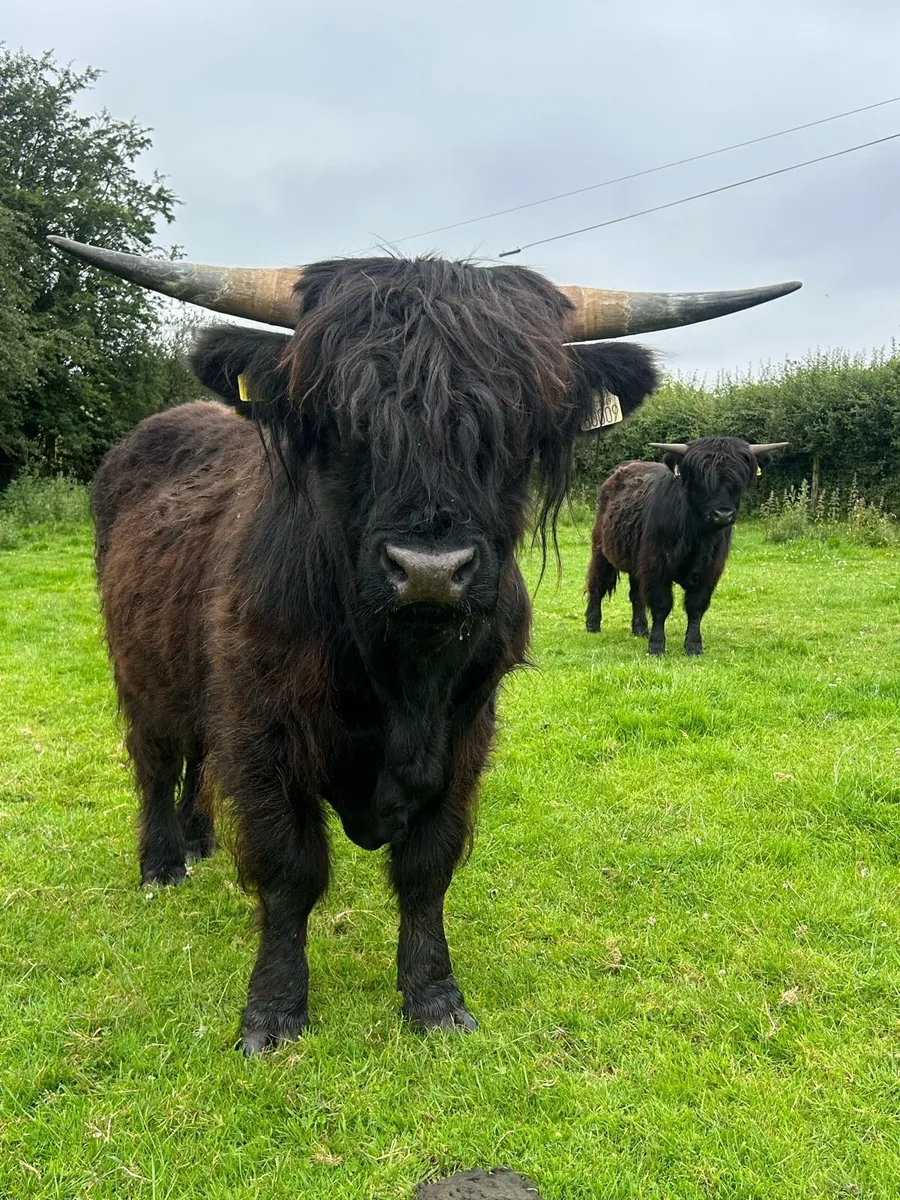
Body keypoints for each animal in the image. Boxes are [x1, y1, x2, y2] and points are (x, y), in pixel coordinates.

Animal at [584, 436, 788, 655]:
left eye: (740, 479)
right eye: (701, 478)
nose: (723, 514)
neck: (697, 537)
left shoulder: (711, 570)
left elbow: (696, 606)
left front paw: (694, 646)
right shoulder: (655, 564)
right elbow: (661, 605)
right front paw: (656, 646)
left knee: (636, 594)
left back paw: (640, 629)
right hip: (601, 550)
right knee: (597, 583)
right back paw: (593, 624)